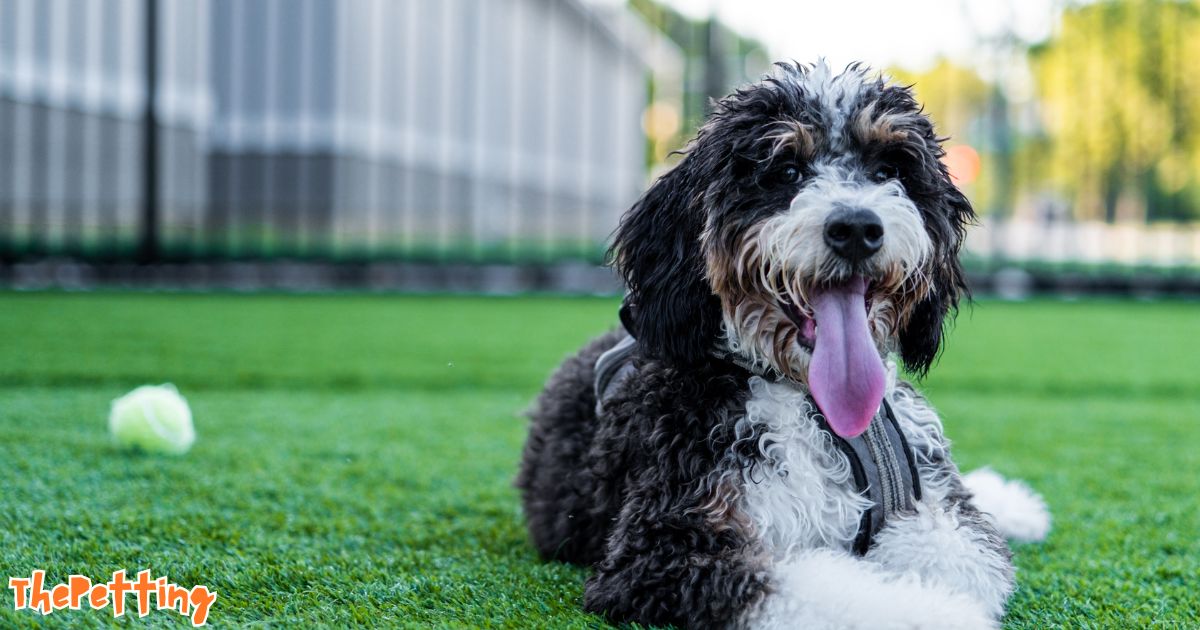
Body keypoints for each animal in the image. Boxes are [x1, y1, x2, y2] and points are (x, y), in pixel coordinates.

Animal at [520, 62, 1046, 628]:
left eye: (889, 170)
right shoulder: (663, 547)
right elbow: (823, 587)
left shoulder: (939, 511)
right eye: (786, 170)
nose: (856, 227)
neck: (814, 406)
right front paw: (934, 613)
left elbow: (968, 557)